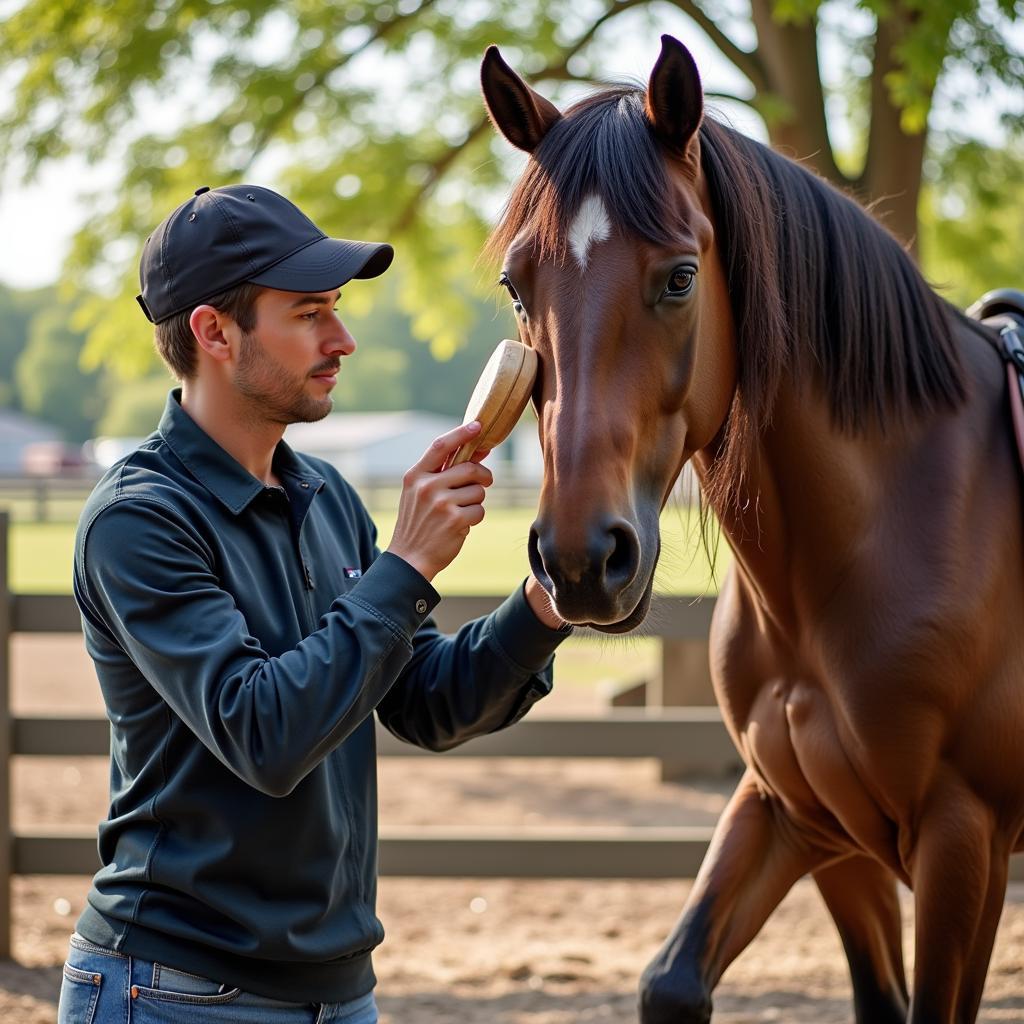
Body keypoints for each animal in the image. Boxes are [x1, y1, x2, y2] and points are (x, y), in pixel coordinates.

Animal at [479, 34, 1024, 1024]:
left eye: (680, 278)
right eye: (515, 286)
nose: (579, 561)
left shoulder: (965, 842)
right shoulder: (801, 814)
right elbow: (674, 979)